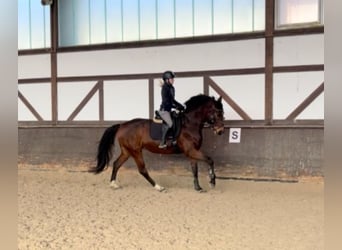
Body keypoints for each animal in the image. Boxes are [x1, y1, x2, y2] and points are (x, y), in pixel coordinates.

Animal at [89, 94, 226, 191]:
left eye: (222, 113)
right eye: (217, 112)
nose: (220, 131)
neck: (190, 124)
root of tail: (122, 125)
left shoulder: (192, 152)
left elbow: (195, 169)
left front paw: (198, 187)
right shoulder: (191, 151)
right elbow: (210, 160)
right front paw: (212, 181)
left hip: (127, 151)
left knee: (116, 164)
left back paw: (113, 184)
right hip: (136, 151)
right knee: (142, 170)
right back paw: (158, 187)